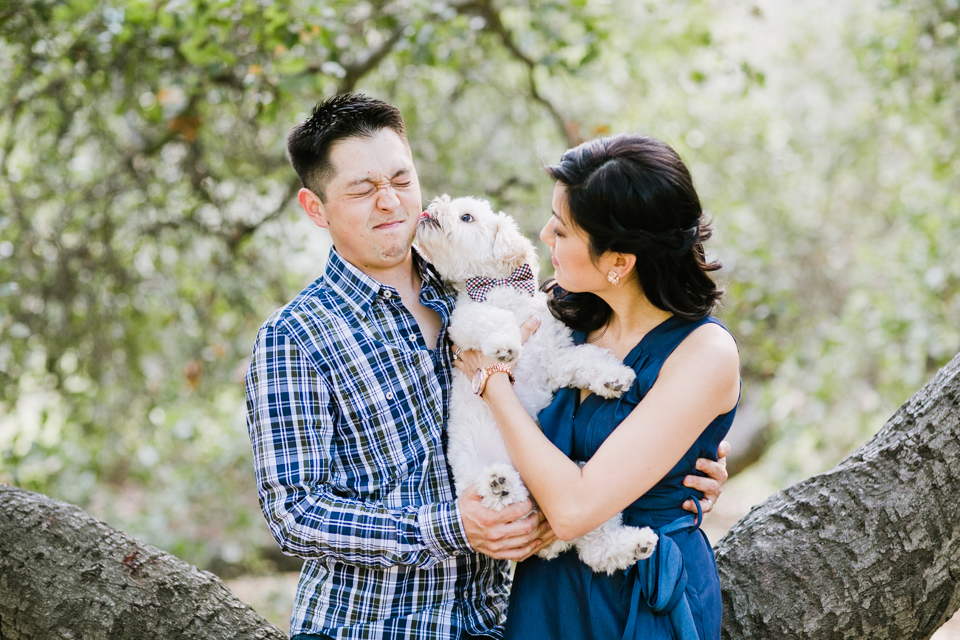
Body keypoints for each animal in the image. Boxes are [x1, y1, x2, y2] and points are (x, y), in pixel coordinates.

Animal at [416, 192, 656, 572]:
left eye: (466, 216)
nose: (430, 208)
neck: (500, 288)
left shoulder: (553, 359)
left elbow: (583, 357)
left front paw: (613, 378)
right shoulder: (463, 324)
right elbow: (493, 318)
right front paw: (505, 345)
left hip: (578, 484)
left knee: (596, 548)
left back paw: (635, 544)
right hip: (478, 484)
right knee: (504, 503)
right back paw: (500, 484)